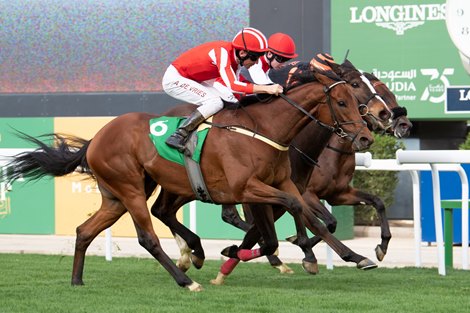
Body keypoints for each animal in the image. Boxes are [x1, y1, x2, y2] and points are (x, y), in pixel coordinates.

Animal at [1, 66, 372, 290]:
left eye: (357, 100)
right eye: (342, 102)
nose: (367, 138)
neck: (264, 129)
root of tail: (97, 138)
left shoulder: (282, 183)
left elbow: (309, 218)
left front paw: (355, 257)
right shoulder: (248, 188)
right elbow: (287, 216)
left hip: (121, 195)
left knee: (86, 230)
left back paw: (78, 281)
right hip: (131, 188)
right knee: (148, 236)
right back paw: (185, 278)